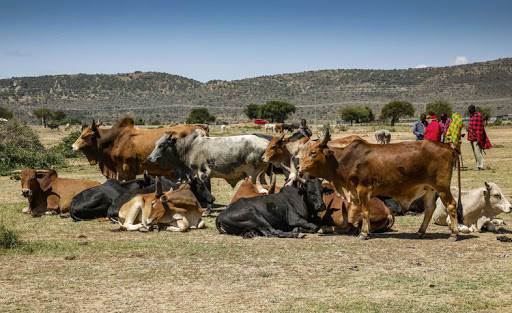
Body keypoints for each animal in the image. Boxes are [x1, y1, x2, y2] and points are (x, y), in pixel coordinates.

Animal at [72, 117, 204, 179]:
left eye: (86, 135)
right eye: (81, 133)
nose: (73, 146)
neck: (115, 140)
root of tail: (199, 128)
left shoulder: (127, 170)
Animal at [296, 128, 460, 240]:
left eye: (313, 152)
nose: (298, 167)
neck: (344, 160)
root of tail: (448, 147)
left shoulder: (363, 189)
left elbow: (364, 212)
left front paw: (364, 233)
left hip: (442, 187)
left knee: (451, 205)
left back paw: (454, 234)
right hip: (430, 189)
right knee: (429, 209)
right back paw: (420, 231)